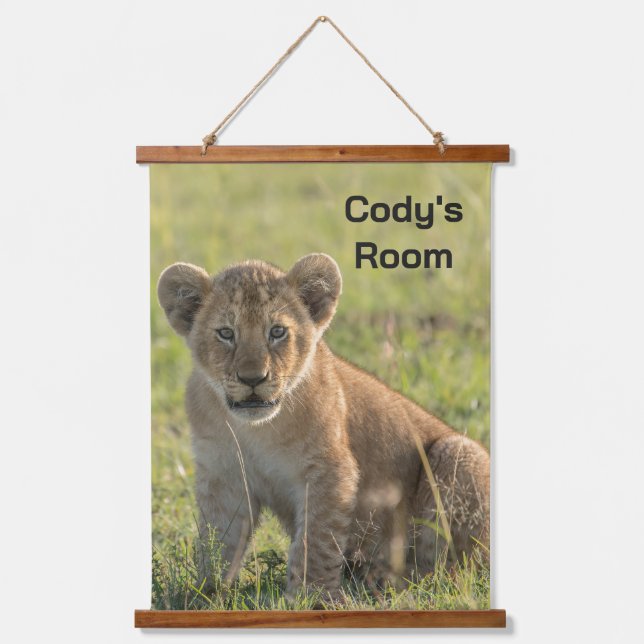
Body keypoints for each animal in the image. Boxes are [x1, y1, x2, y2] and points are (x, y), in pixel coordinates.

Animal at [157, 253, 489, 599]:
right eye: (225, 333)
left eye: (277, 332)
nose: (252, 379)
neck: (256, 430)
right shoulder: (224, 476)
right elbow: (217, 540)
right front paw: (204, 594)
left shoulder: (330, 469)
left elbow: (316, 538)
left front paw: (311, 596)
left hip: (460, 452)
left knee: (452, 572)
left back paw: (386, 579)